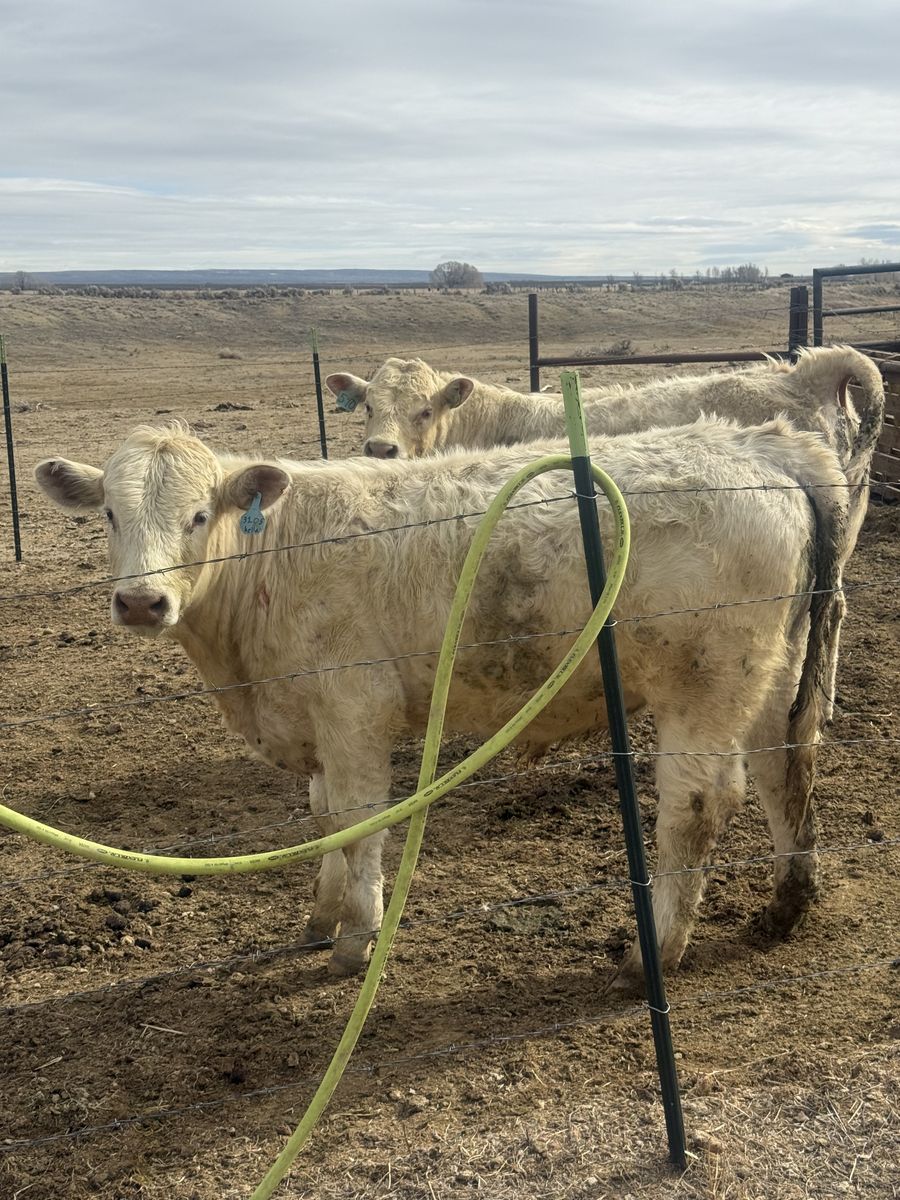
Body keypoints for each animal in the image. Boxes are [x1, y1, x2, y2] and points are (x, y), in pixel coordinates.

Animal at [36, 417, 848, 987]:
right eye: (109, 514)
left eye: (199, 515)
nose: (142, 602)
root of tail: (761, 444)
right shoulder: (313, 720)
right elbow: (323, 819)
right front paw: (321, 915)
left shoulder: (354, 710)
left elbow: (357, 822)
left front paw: (355, 940)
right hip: (774, 674)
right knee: (785, 768)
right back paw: (787, 902)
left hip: (702, 685)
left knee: (697, 807)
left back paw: (654, 952)